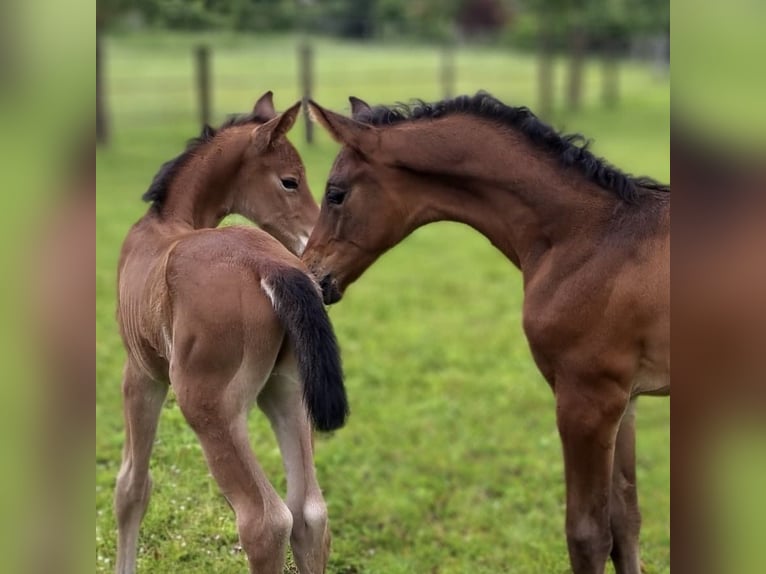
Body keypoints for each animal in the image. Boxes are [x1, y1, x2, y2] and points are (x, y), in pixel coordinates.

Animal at [115, 94, 350, 574]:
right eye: (289, 181)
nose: (312, 242)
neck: (168, 224)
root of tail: (272, 266)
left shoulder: (142, 373)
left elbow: (132, 487)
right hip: (287, 391)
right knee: (309, 513)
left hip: (208, 406)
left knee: (264, 520)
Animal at [304, 94, 668, 574]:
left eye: (336, 193)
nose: (313, 277)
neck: (588, 235)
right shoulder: (625, 400)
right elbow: (626, 523)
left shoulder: (588, 399)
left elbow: (588, 535)